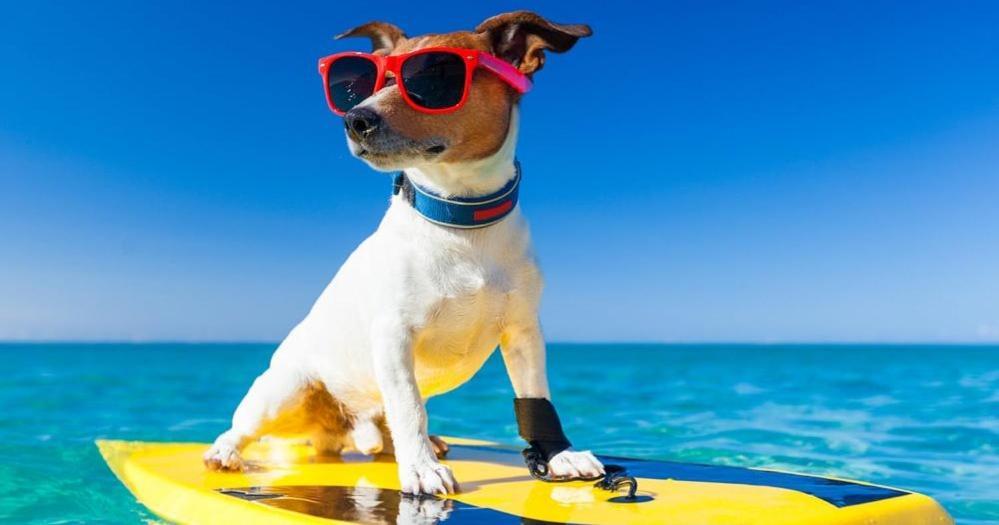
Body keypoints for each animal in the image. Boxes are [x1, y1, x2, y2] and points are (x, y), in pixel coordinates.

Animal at [203, 12, 600, 496]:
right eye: (365, 83)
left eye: (433, 76)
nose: (355, 118)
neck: (459, 219)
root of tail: (341, 430)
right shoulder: (394, 334)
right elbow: (409, 405)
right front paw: (421, 469)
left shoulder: (524, 332)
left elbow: (535, 398)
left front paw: (558, 455)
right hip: (284, 391)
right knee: (245, 426)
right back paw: (225, 451)